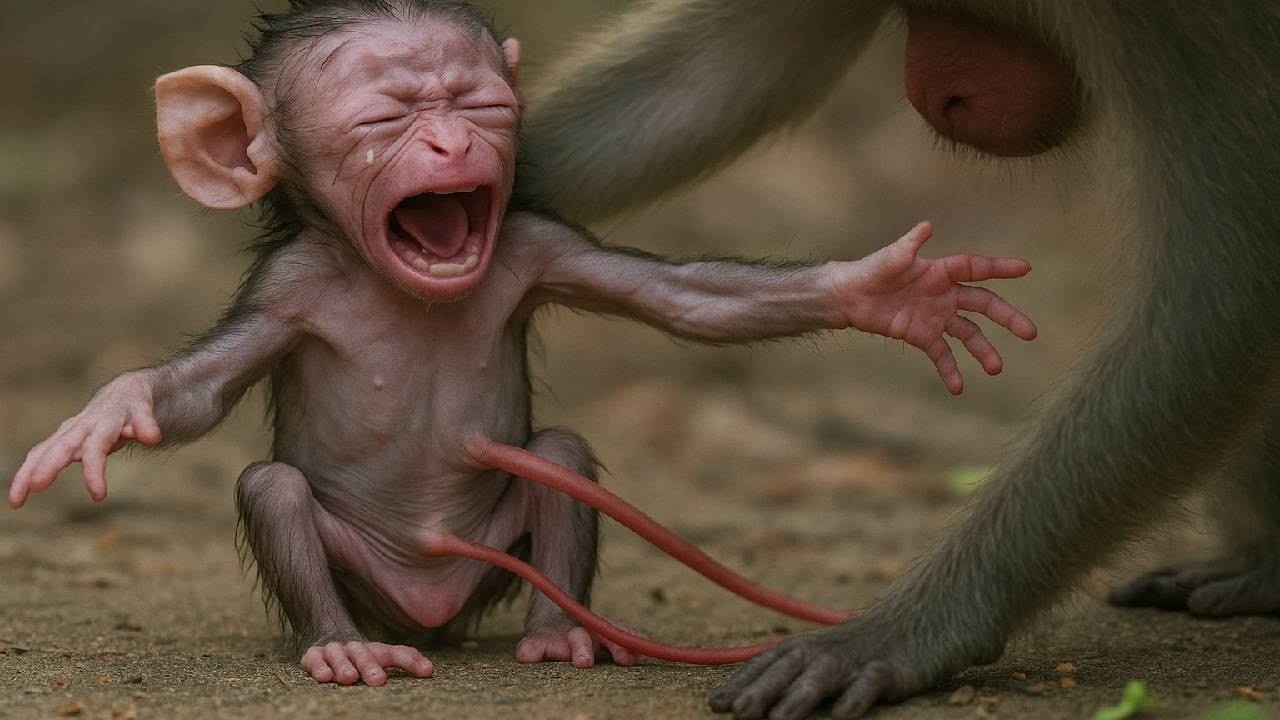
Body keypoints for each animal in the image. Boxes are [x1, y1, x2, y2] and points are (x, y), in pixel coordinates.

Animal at [5, 0, 1040, 690]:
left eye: (479, 104)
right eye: (384, 117)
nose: (450, 145)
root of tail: (429, 597)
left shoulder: (537, 245)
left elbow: (687, 301)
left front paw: (891, 294)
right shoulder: (286, 289)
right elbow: (202, 388)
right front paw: (108, 415)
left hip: (489, 558)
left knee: (561, 454)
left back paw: (559, 634)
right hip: (366, 573)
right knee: (274, 488)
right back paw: (341, 643)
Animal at [517, 1, 1280, 718]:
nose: (937, 95)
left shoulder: (1175, 20)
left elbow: (1221, 295)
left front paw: (906, 632)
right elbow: (722, 75)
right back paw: (1259, 568)